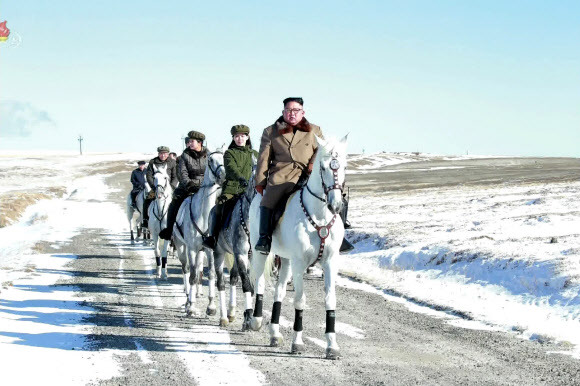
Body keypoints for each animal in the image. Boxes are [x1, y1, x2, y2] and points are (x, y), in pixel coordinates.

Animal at [172, 148, 224, 316]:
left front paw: (211, 306)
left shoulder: (209, 249)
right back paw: (188, 299)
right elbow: (193, 276)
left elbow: (211, 274)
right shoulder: (192, 249)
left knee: (199, 270)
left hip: (201, 252)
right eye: (211, 160)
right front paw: (191, 306)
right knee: (187, 270)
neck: (203, 215)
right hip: (181, 247)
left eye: (224, 157)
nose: (223, 176)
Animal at [248, 135, 344, 358]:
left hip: (286, 259)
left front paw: (332, 345)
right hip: (261, 252)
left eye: (343, 165)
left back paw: (275, 333)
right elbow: (300, 300)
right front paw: (298, 342)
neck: (320, 215)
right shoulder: (300, 263)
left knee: (279, 293)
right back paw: (256, 320)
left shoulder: (330, 262)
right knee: (260, 283)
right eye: (323, 167)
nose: (335, 205)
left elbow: (330, 300)